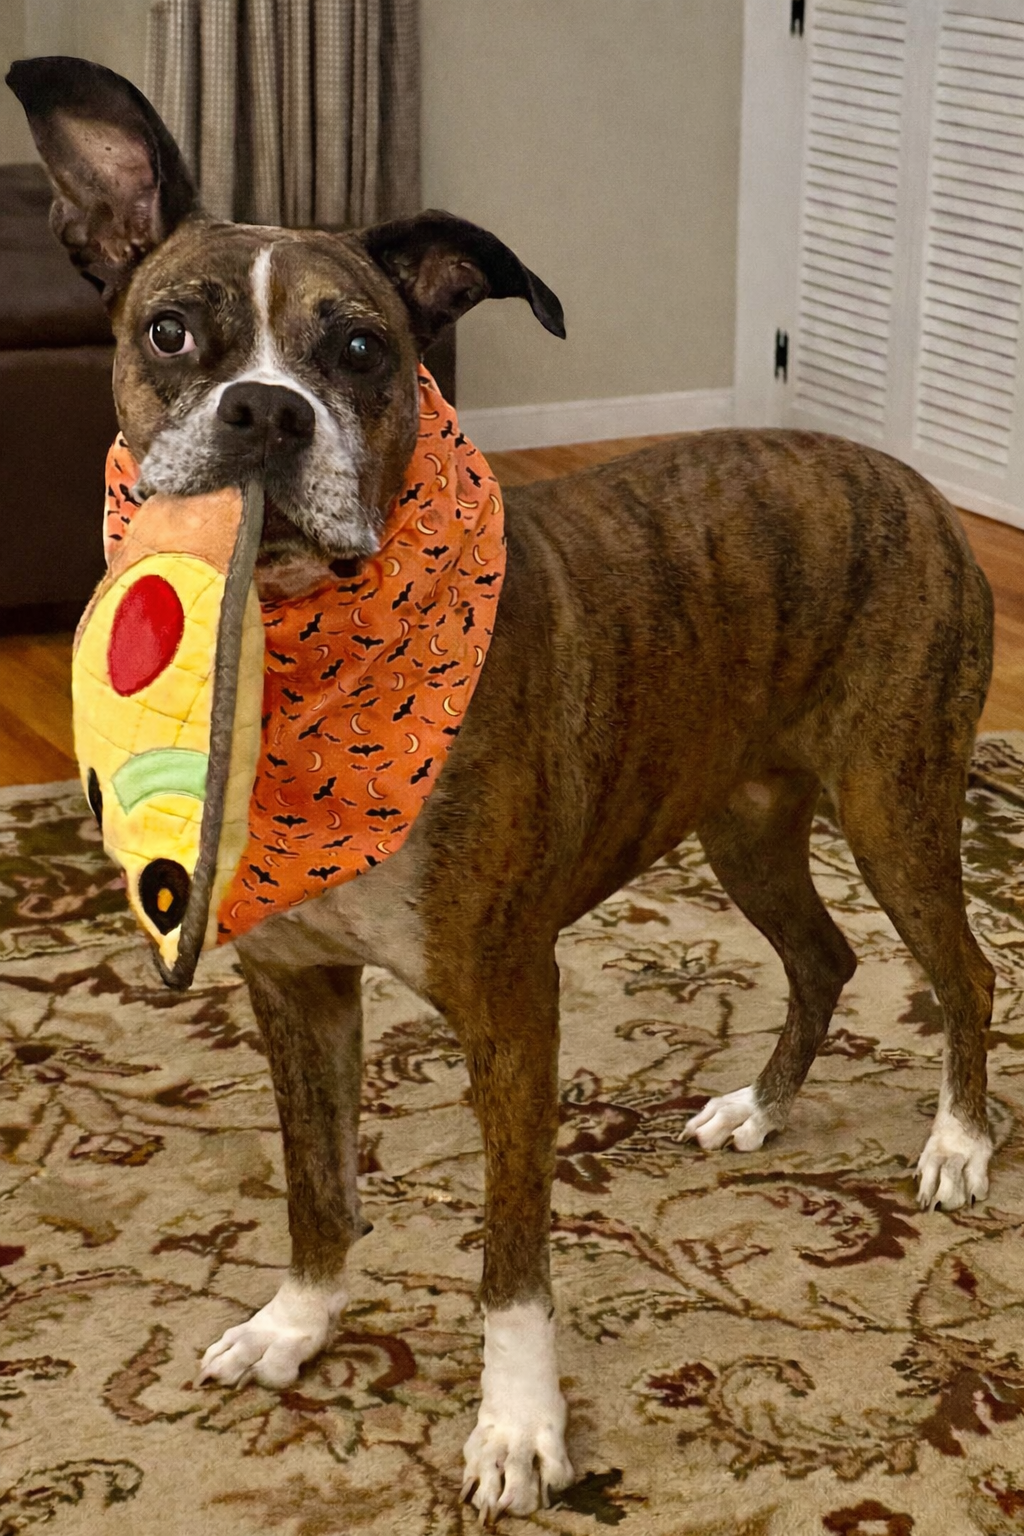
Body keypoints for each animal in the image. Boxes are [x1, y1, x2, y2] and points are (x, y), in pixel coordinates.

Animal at [9, 55, 996, 1523]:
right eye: (173, 333)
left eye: (363, 351)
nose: (265, 411)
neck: (300, 656)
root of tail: (915, 485)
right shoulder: (297, 989)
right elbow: (316, 1185)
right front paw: (299, 1326)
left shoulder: (508, 1004)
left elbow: (512, 1251)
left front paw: (520, 1427)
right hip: (747, 820)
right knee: (822, 957)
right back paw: (758, 1108)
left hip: (893, 802)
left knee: (964, 972)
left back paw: (959, 1146)